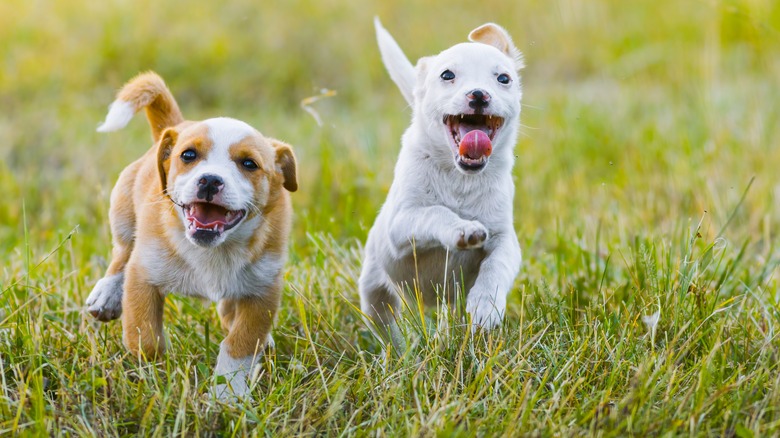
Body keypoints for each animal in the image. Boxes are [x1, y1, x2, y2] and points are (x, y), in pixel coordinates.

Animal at [86, 72, 298, 400]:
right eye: (188, 155)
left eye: (249, 163)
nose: (210, 180)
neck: (214, 250)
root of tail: (179, 124)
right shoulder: (143, 276)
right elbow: (144, 336)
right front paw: (156, 378)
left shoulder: (262, 291)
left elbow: (240, 344)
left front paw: (229, 396)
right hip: (122, 212)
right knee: (121, 253)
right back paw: (107, 293)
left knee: (228, 312)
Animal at [360, 18, 524, 340]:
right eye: (447, 75)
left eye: (504, 78)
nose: (479, 94)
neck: (461, 178)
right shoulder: (401, 223)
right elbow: (436, 212)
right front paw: (463, 229)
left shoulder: (506, 239)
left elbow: (496, 265)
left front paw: (486, 306)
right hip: (374, 293)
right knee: (387, 328)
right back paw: (402, 349)